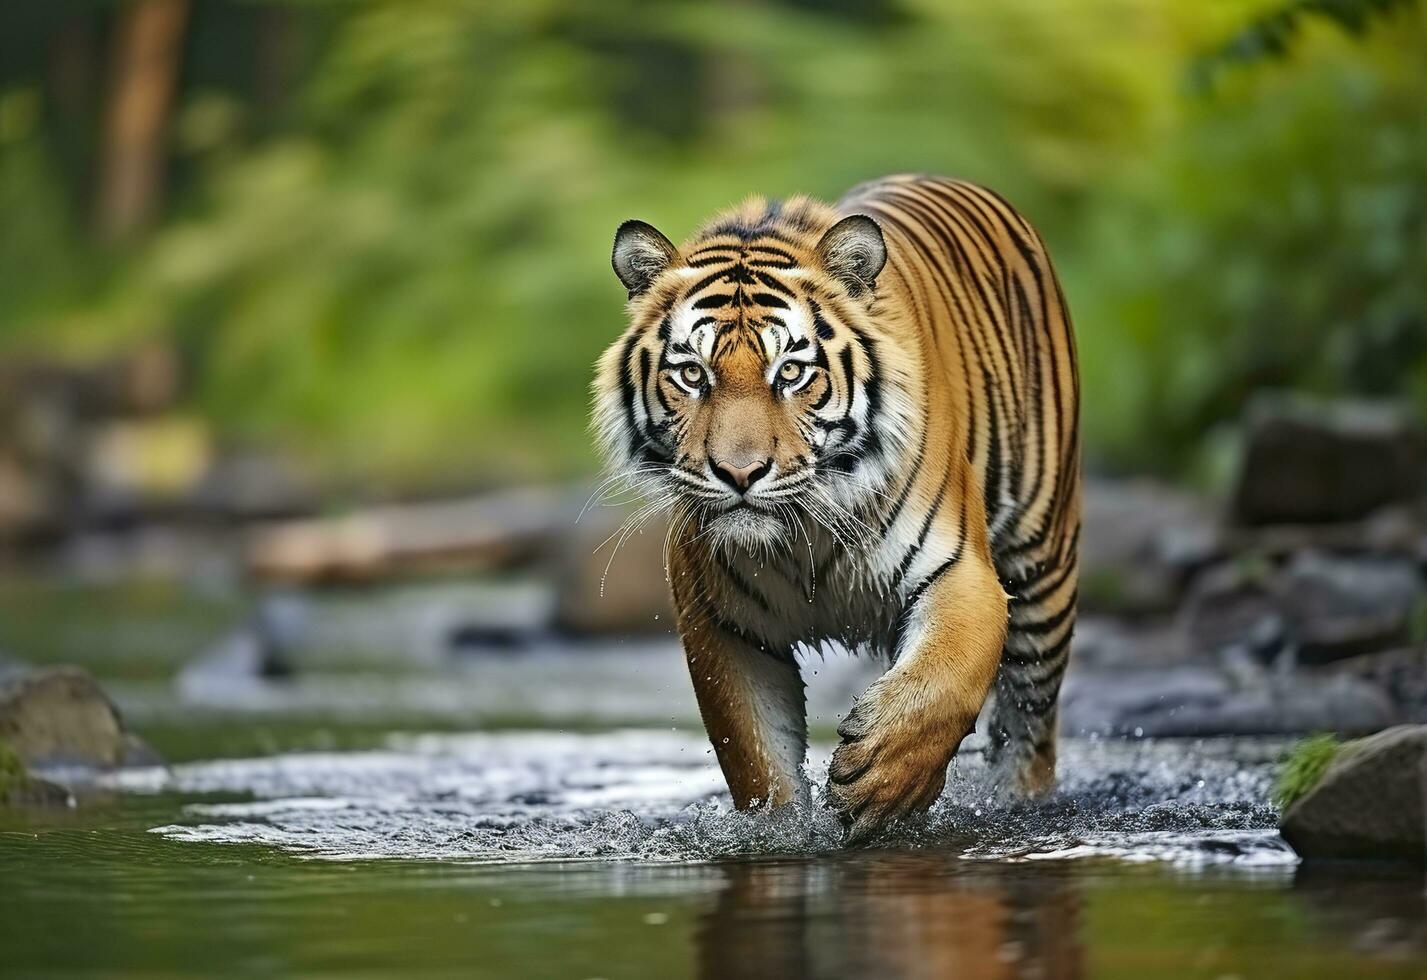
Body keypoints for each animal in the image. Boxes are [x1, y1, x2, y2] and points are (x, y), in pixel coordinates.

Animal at [593, 172, 1078, 838]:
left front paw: (879, 781)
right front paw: (783, 827)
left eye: (791, 373)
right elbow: (752, 751)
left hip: (1042, 570)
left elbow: (947, 679)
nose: (739, 473)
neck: (803, 537)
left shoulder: (962, 572)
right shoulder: (721, 621)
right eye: (692, 375)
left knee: (1032, 727)